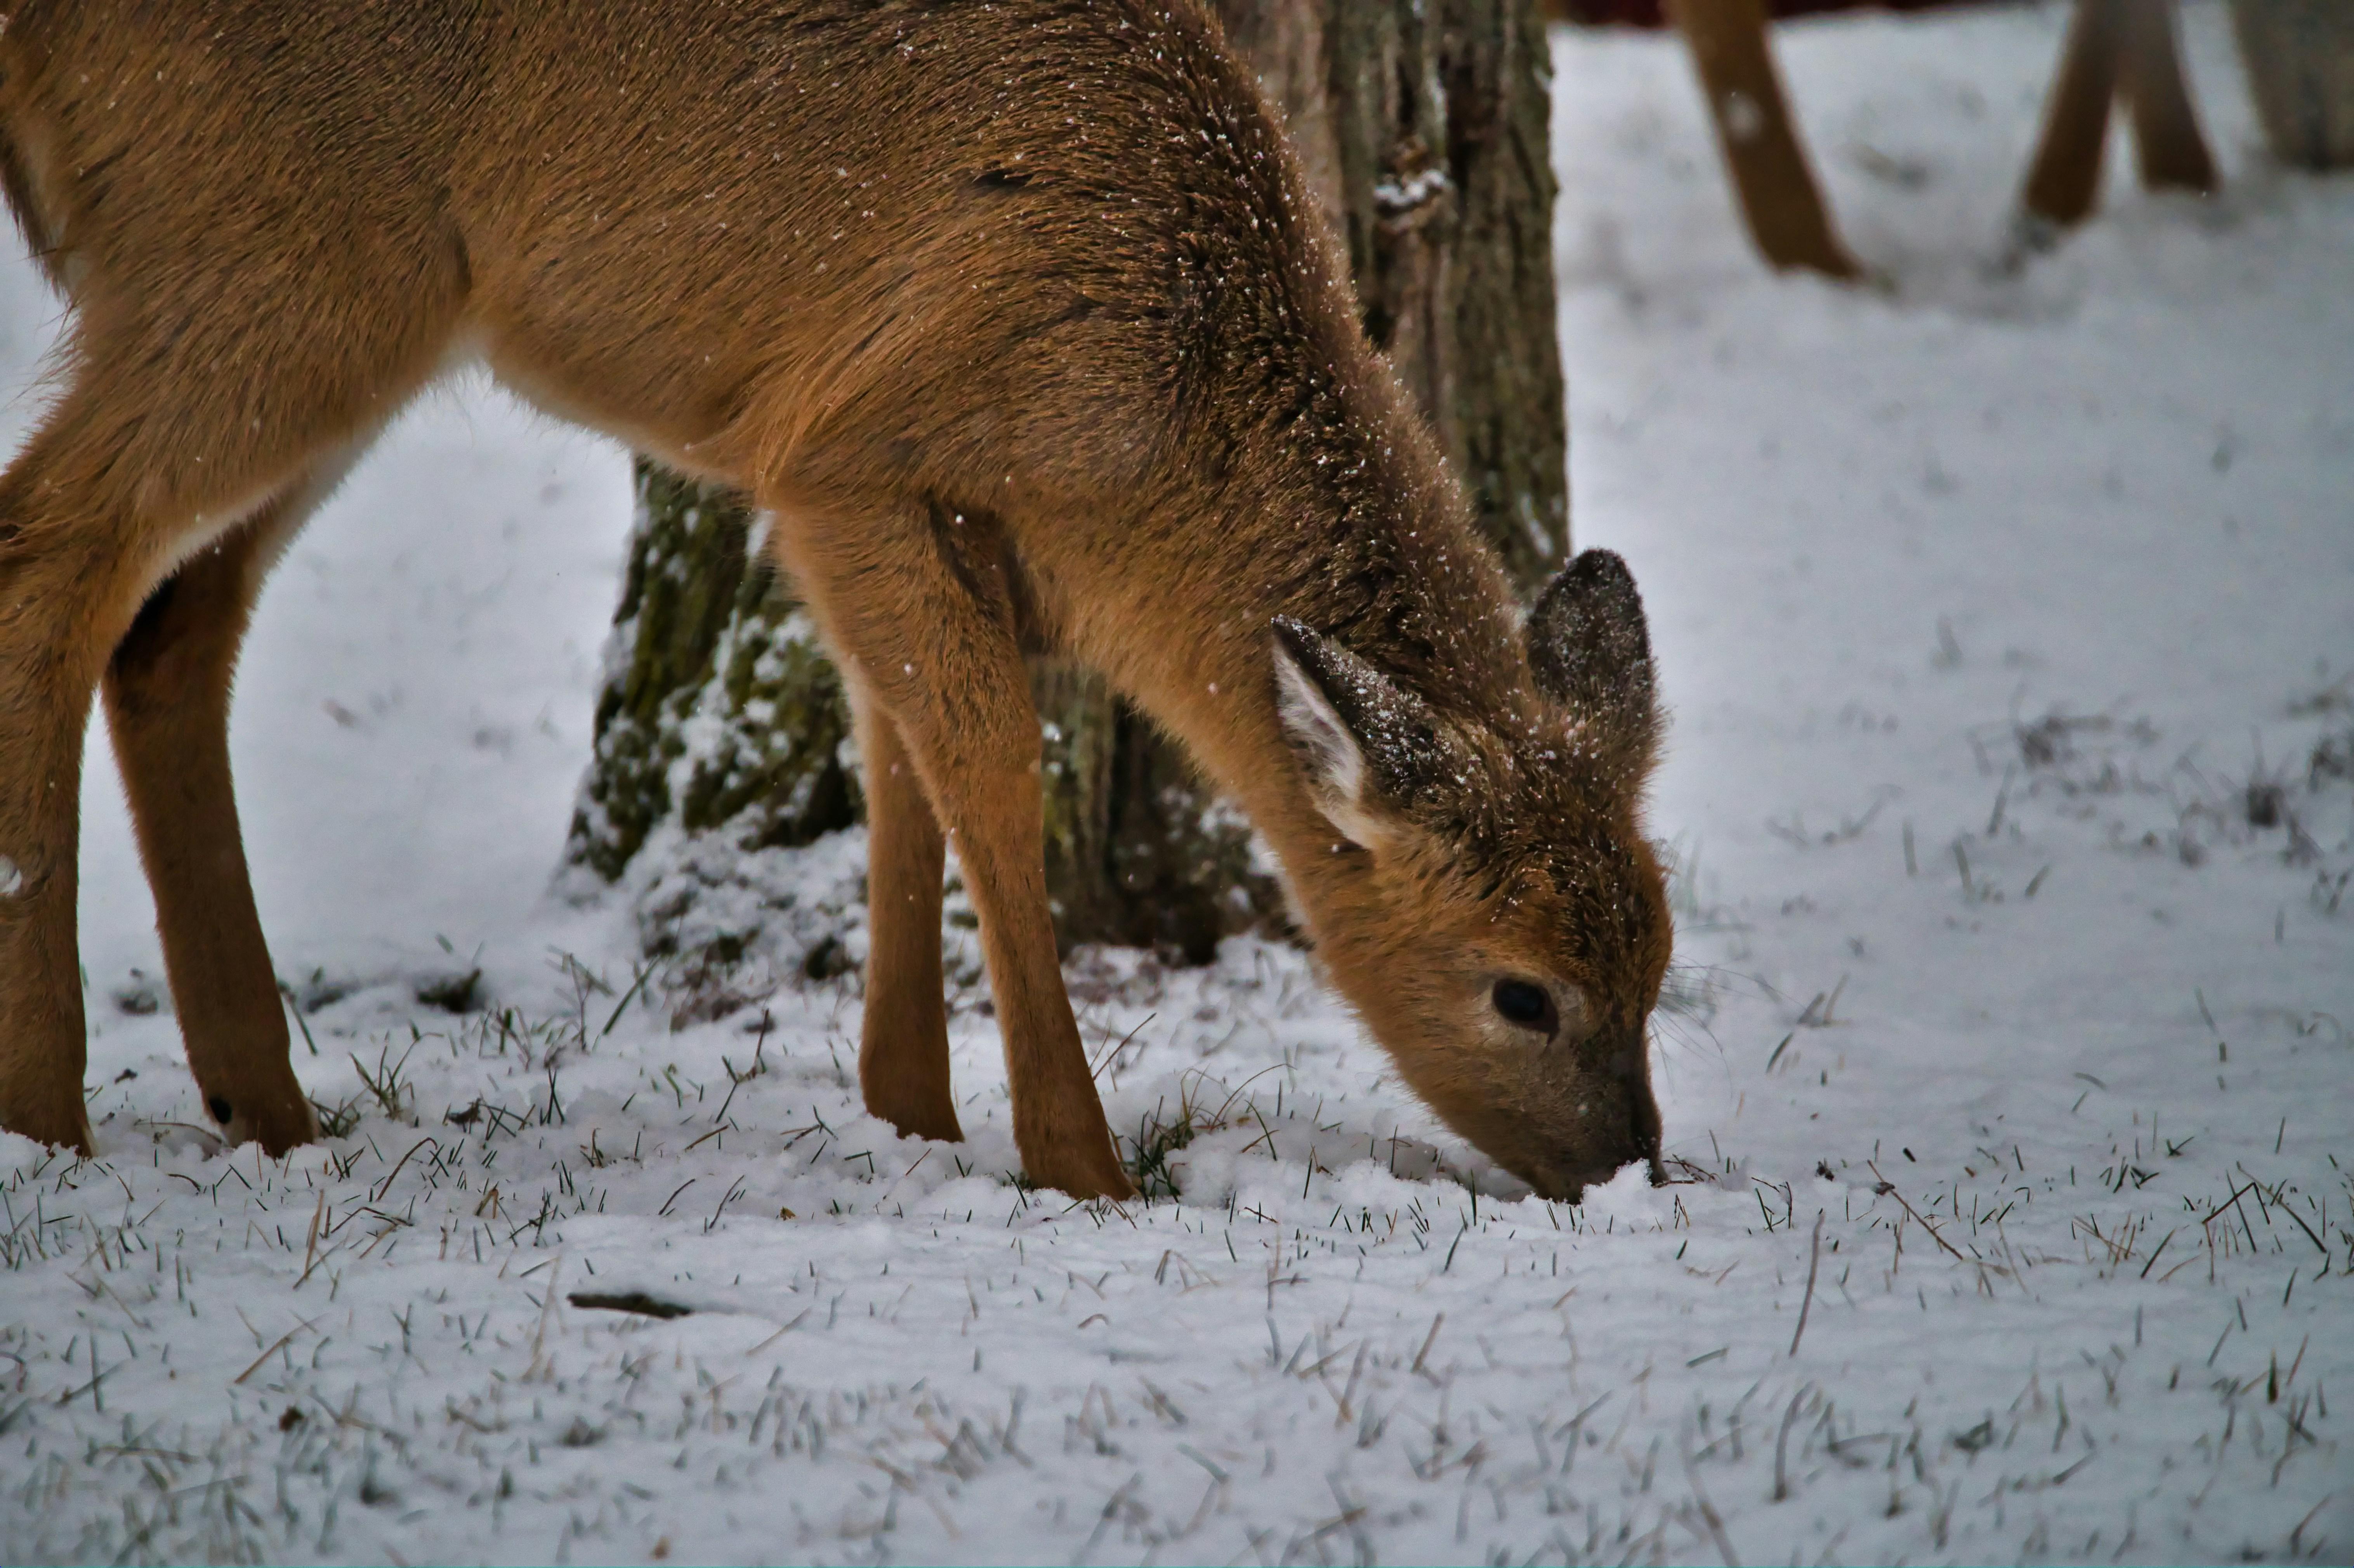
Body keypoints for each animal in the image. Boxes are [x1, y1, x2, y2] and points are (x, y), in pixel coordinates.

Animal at [0, 0, 1676, 1196]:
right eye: (1521, 993)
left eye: (1656, 963)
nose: (1626, 1166)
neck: (1160, 398)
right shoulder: (844, 455)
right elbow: (990, 769)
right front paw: (1081, 1168)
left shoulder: (911, 514)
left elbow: (901, 769)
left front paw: (912, 1113)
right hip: (267, 258)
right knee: (48, 552)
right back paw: (52, 1114)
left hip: (333, 308)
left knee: (171, 632)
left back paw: (268, 1106)